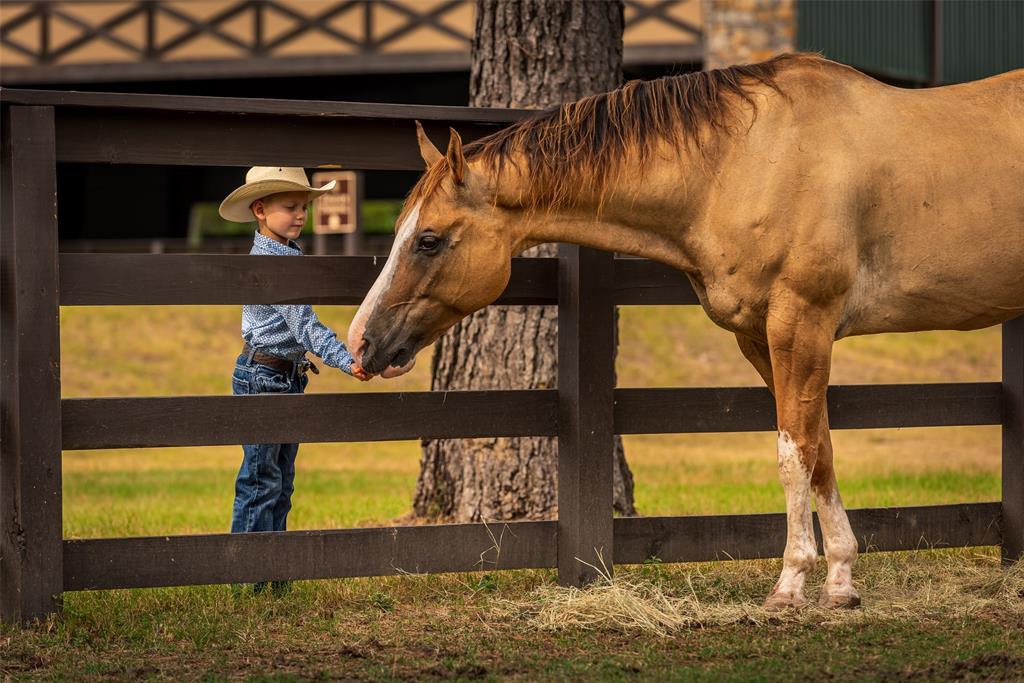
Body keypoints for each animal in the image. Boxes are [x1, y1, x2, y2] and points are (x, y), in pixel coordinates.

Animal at [350, 54, 1024, 610]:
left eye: (428, 239)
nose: (361, 343)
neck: (746, 163)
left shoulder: (801, 323)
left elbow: (794, 453)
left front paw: (791, 583)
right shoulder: (763, 338)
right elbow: (820, 448)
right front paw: (840, 582)